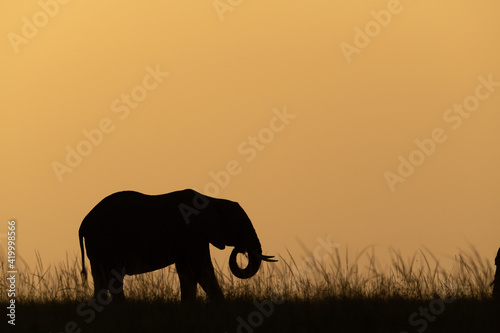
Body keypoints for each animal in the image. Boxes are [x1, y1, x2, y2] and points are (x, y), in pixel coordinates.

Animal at [80, 189, 280, 300]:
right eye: (240, 225)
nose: (242, 249)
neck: (212, 200)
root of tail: (84, 223)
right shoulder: (192, 235)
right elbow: (201, 271)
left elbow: (187, 273)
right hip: (106, 242)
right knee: (112, 279)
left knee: (102, 279)